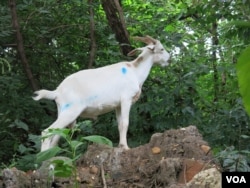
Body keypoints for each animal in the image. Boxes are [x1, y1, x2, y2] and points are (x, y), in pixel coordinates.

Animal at [33, 36, 170, 151]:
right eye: (162, 49)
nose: (169, 59)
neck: (135, 71)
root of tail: (57, 91)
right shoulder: (126, 99)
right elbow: (125, 123)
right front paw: (126, 147)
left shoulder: (118, 105)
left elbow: (120, 124)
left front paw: (121, 145)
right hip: (70, 111)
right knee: (47, 132)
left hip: (63, 112)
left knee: (56, 136)